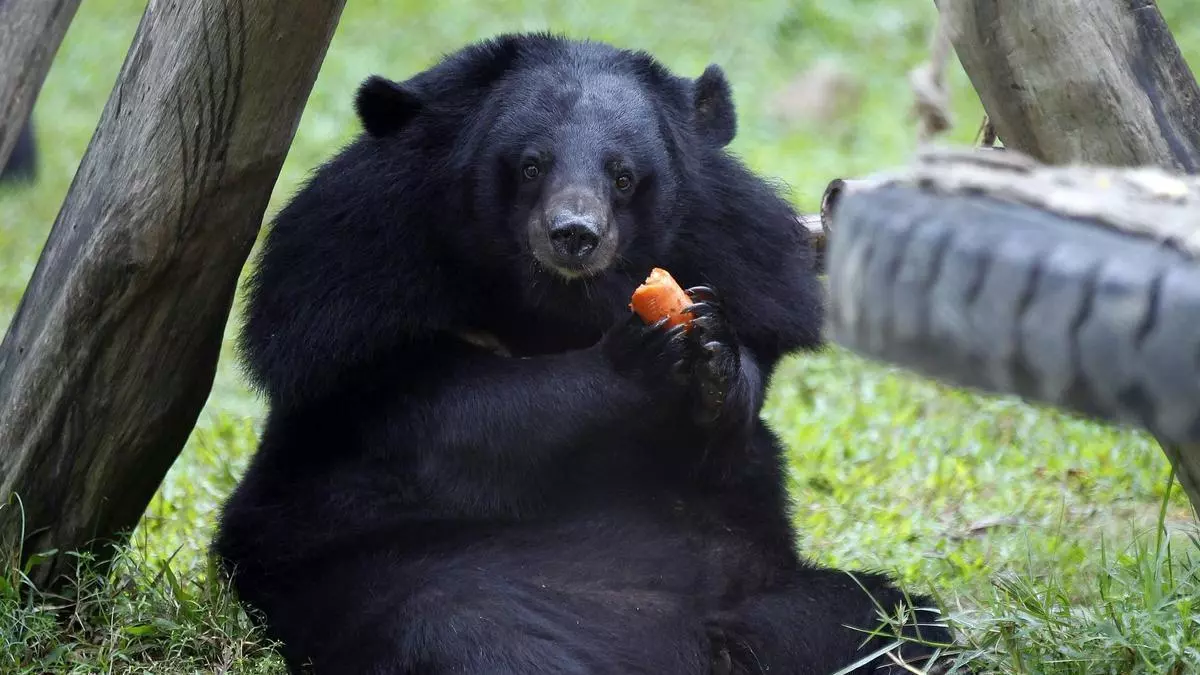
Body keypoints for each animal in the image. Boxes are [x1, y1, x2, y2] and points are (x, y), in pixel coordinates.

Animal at [214, 32, 953, 675]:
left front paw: (712, 351)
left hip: (773, 598)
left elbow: (730, 435)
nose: (574, 234)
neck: (552, 306)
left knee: (889, 624)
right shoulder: (350, 299)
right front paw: (638, 355)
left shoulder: (745, 258)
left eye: (622, 176)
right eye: (530, 166)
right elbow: (459, 419)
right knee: (470, 634)